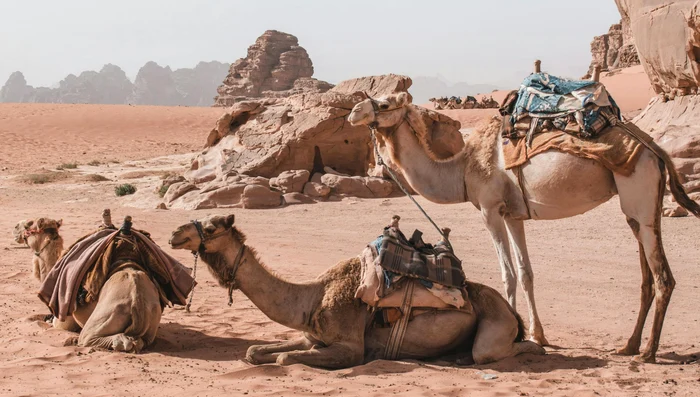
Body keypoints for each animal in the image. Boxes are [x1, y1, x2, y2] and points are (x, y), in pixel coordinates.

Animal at [167, 213, 544, 368]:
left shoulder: (349, 346)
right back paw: (456, 355)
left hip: (495, 324)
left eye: (211, 228)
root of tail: (510, 311)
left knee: (498, 350)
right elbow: (254, 351)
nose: (174, 234)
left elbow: (286, 358)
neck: (312, 298)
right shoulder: (311, 336)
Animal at [346, 90, 700, 362]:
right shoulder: (513, 215)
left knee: (663, 277)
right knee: (646, 276)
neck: (461, 170)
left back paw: (648, 352)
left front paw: (513, 331)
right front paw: (537, 334)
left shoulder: (490, 210)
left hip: (639, 190)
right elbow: (526, 272)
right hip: (638, 209)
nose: (354, 111)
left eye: (386, 103)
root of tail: (657, 149)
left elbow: (508, 274)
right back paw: (628, 346)